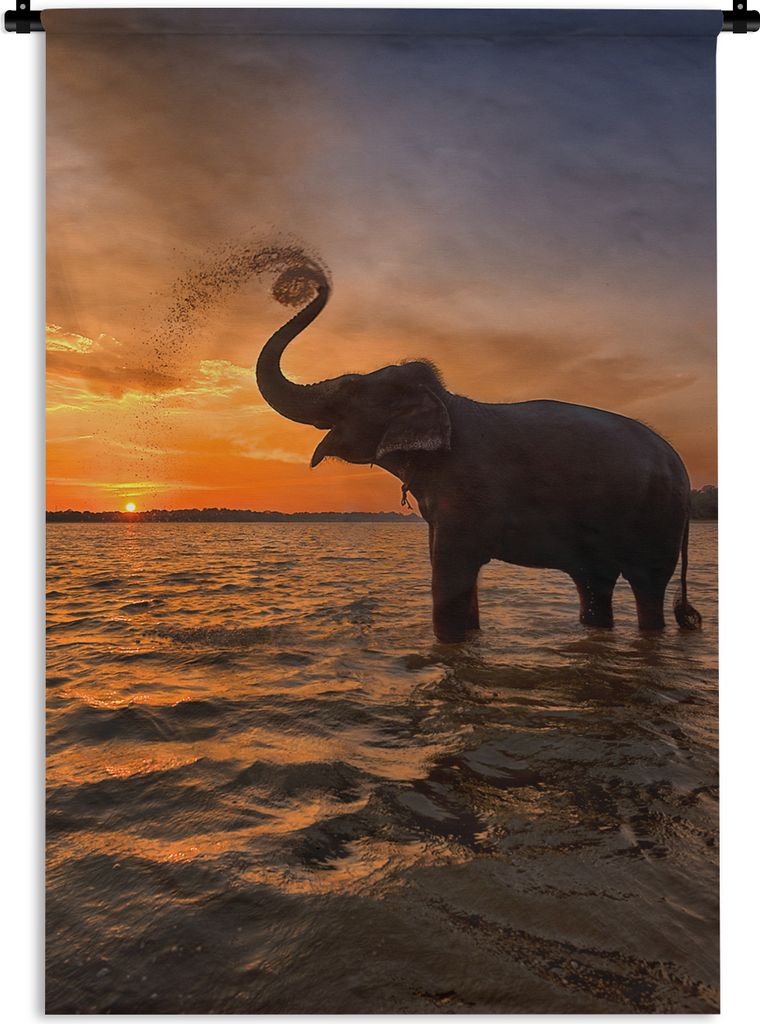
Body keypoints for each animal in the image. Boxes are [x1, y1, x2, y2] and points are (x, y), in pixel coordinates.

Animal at [256, 280, 701, 643]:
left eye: (349, 388)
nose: (311, 282)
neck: (449, 403)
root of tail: (681, 465)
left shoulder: (467, 490)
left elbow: (450, 572)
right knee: (594, 585)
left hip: (657, 520)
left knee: (647, 588)